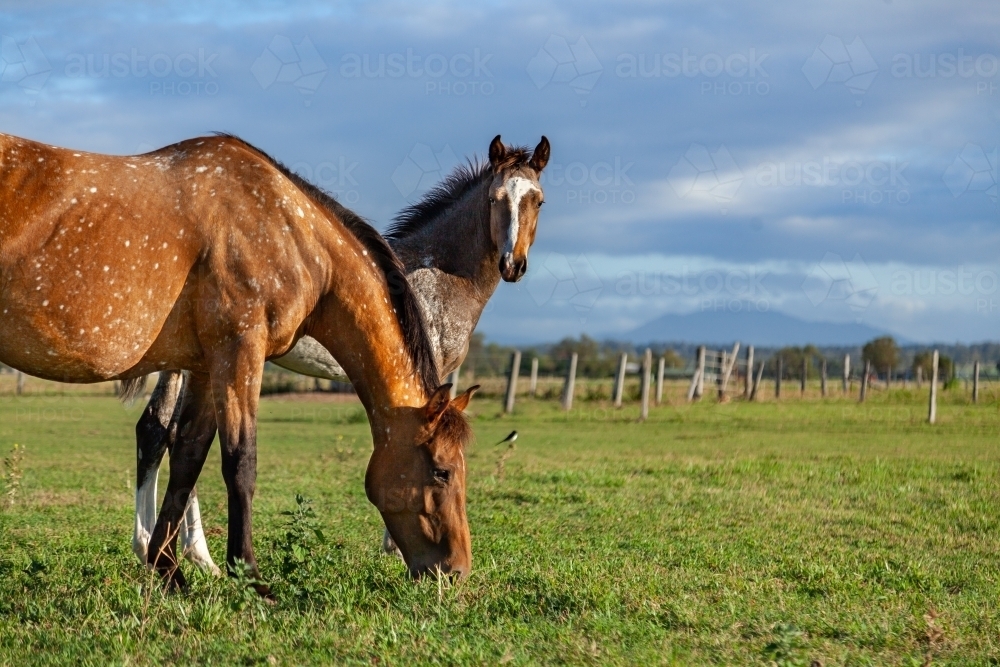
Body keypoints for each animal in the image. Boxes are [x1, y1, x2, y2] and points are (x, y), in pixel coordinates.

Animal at [0, 131, 486, 593]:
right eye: (441, 472)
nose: (456, 571)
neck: (289, 231)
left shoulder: (202, 366)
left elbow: (188, 458)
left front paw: (169, 570)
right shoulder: (239, 352)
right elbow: (240, 462)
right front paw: (247, 574)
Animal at [129, 135, 551, 574]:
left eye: (537, 200)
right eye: (495, 199)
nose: (513, 264)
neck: (437, 274)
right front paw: (394, 547)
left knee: (157, 431)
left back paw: (157, 548)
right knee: (164, 434)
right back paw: (189, 553)